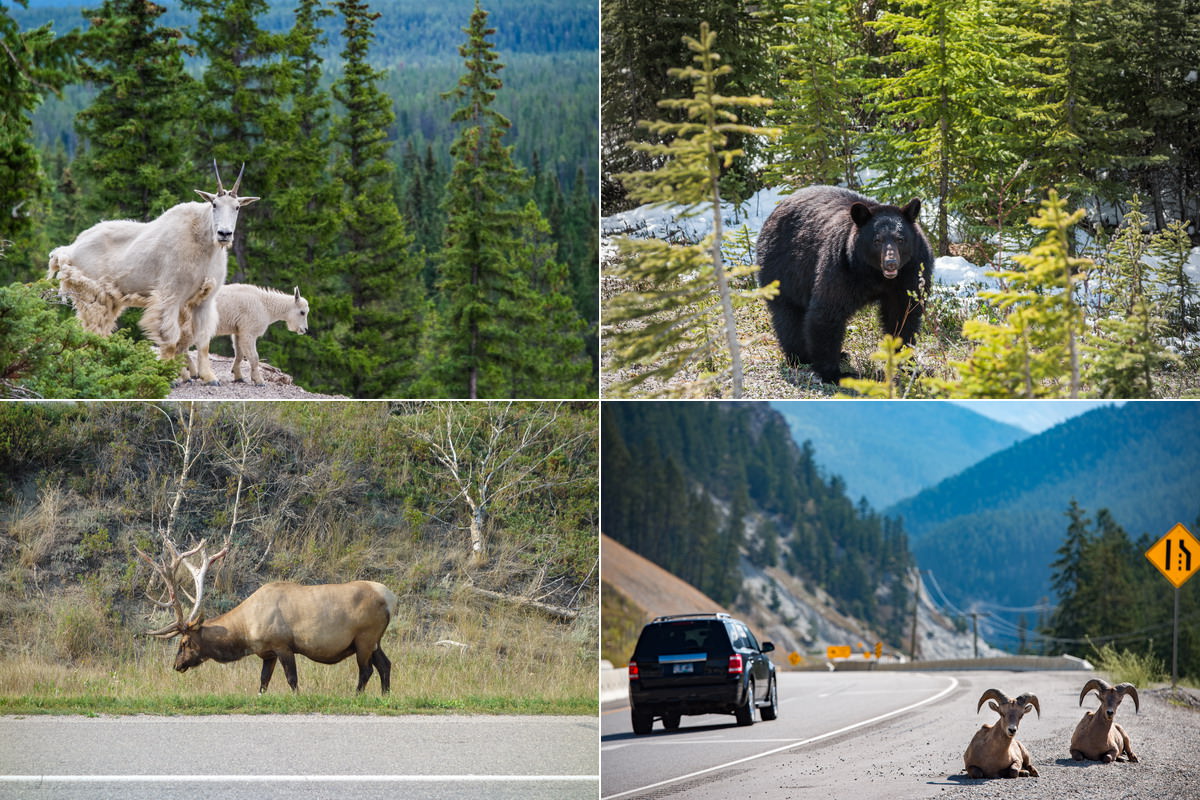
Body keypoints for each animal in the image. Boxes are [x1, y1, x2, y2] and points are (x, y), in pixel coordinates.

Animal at [50, 163, 261, 383]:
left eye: (237, 207)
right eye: (214, 205)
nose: (224, 234)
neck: (203, 242)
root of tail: (68, 250)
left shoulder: (205, 300)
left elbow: (203, 340)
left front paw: (208, 377)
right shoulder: (171, 295)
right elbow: (170, 337)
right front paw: (170, 375)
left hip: (108, 299)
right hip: (90, 295)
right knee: (91, 329)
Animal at [136, 537, 398, 695]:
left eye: (184, 642)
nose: (176, 664)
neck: (245, 631)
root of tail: (390, 598)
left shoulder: (283, 645)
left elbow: (292, 680)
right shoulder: (267, 653)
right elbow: (262, 683)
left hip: (364, 637)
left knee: (367, 670)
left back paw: (357, 696)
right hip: (374, 640)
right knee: (385, 665)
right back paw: (385, 695)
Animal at [753, 188, 931, 388]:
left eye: (900, 239)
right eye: (877, 240)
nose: (891, 263)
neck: (875, 275)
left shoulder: (911, 271)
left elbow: (903, 314)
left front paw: (908, 364)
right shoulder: (842, 266)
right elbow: (828, 311)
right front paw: (834, 373)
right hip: (783, 269)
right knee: (789, 316)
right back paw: (800, 356)